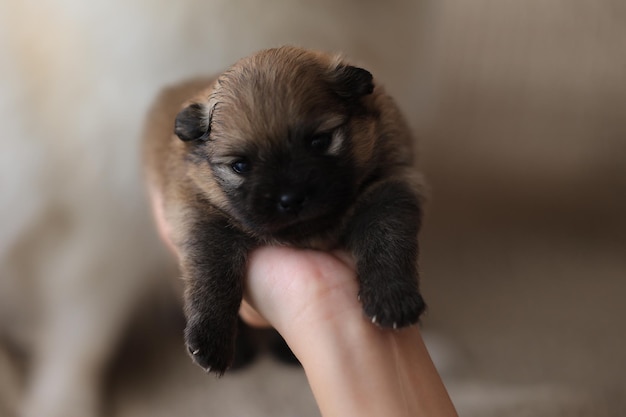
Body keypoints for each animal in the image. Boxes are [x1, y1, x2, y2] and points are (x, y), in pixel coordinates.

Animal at [141, 45, 424, 374]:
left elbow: (386, 238)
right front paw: (210, 338)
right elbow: (212, 274)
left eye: (320, 141)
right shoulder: (201, 216)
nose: (290, 199)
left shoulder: (391, 184)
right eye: (240, 166)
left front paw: (391, 297)